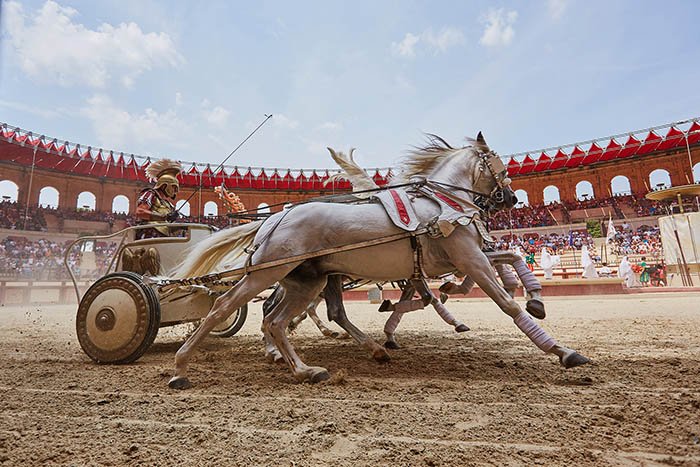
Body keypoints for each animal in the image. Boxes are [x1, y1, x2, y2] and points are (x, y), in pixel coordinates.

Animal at [170, 133, 592, 390]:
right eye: (498, 162)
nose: (511, 198)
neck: (442, 204)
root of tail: (273, 219)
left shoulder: (458, 259)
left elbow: (511, 257)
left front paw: (535, 298)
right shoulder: (468, 257)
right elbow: (504, 302)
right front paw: (563, 351)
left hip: (307, 280)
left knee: (277, 319)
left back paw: (307, 368)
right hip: (269, 274)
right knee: (226, 307)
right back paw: (181, 366)